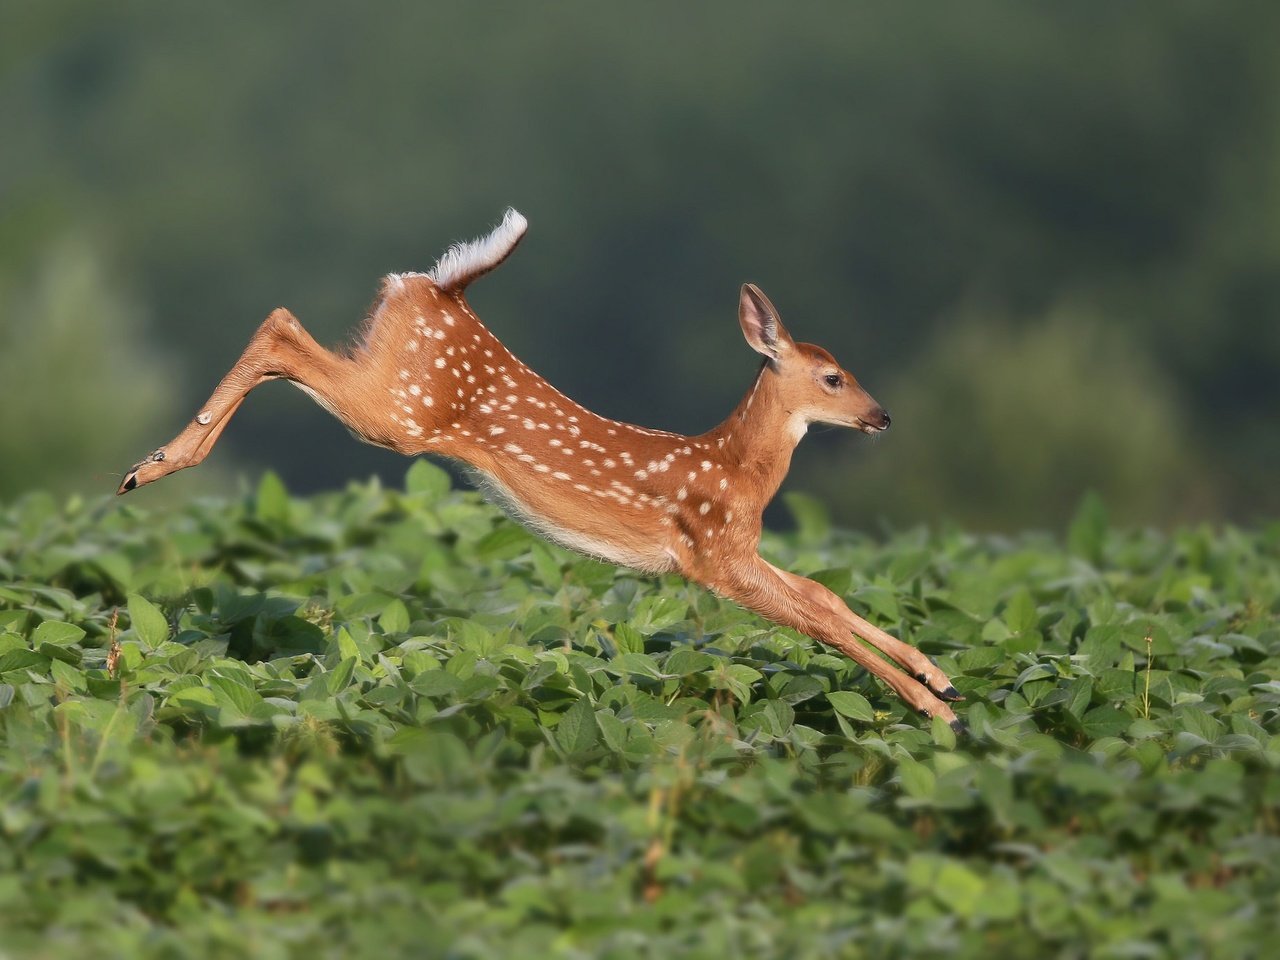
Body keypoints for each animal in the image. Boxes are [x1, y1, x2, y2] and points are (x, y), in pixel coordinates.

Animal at [117, 209, 962, 732]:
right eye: (833, 377)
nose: (883, 416)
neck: (738, 472)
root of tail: (443, 287)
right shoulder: (712, 555)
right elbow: (817, 619)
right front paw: (939, 712)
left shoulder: (738, 549)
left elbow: (824, 594)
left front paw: (940, 677)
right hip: (399, 414)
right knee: (282, 326)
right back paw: (152, 466)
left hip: (388, 378)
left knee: (285, 327)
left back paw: (151, 464)